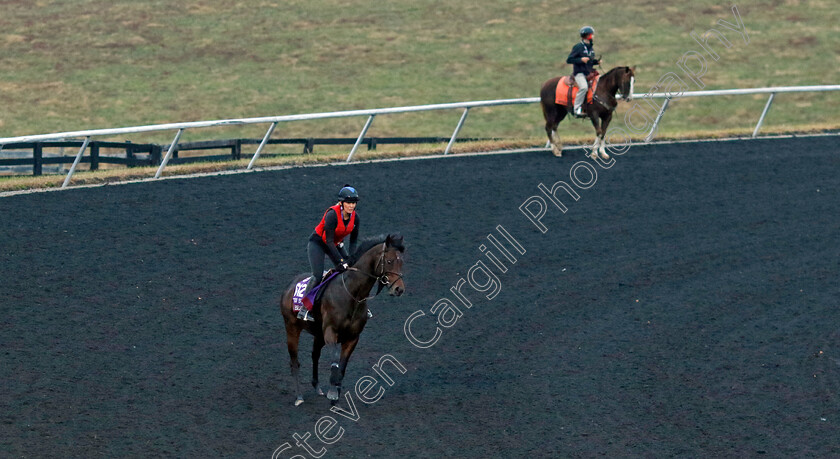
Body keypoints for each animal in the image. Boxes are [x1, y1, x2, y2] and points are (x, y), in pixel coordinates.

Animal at [280, 234, 406, 406]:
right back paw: (299, 396)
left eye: (401, 262)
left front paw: (336, 396)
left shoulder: (352, 338)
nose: (399, 289)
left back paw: (317, 386)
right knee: (294, 362)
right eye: (389, 261)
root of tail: (289, 286)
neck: (352, 294)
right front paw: (333, 393)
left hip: (318, 334)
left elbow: (342, 367)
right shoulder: (330, 332)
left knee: (315, 355)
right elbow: (334, 361)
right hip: (292, 328)